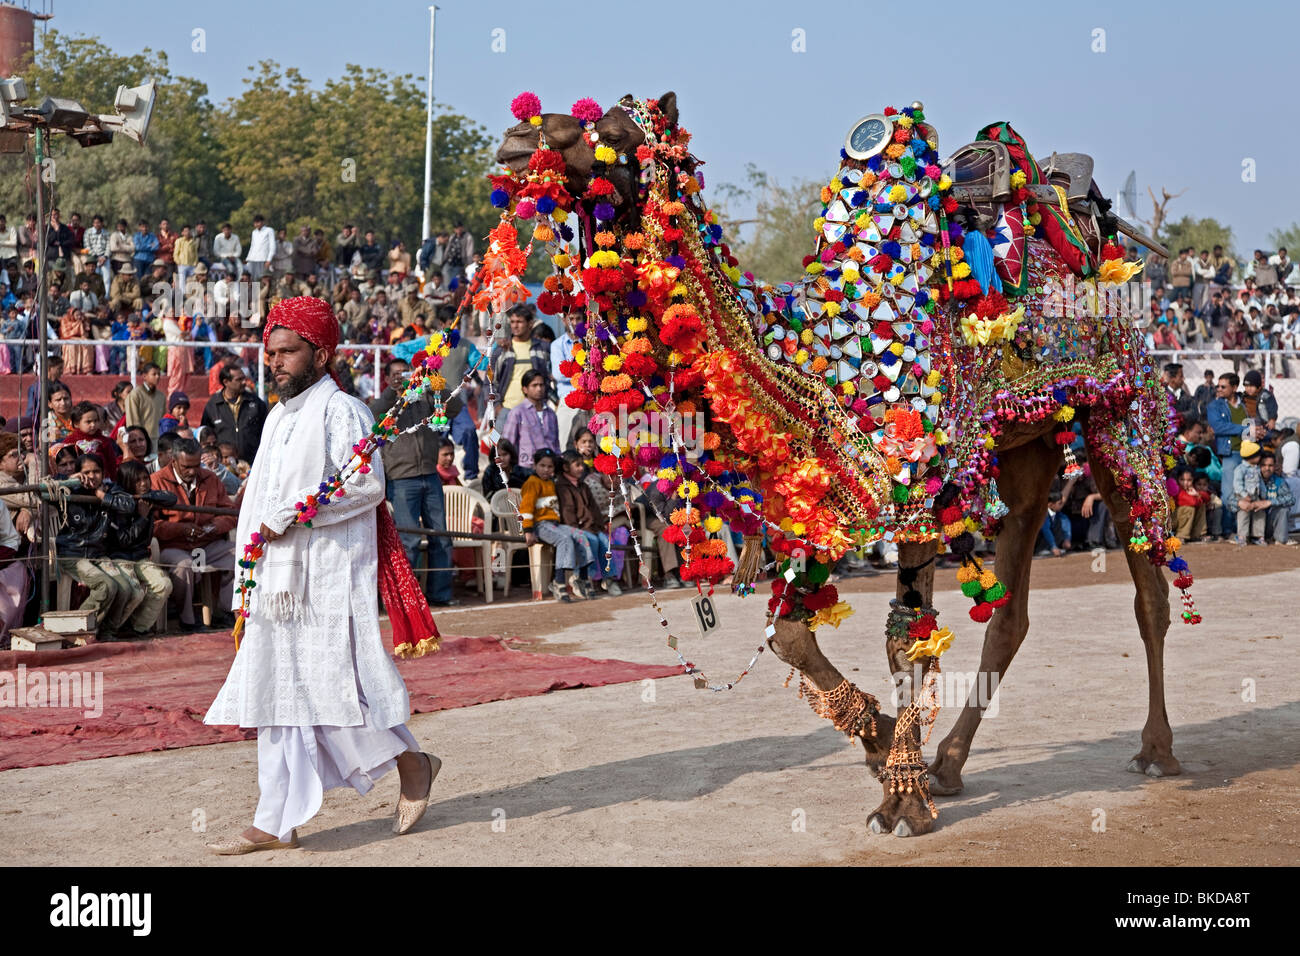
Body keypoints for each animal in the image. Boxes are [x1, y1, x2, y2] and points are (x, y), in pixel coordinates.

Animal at [483, 91, 1190, 837]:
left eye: (615, 135)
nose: (517, 137)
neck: (808, 347)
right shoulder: (813, 503)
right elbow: (791, 636)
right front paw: (882, 745)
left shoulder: (915, 489)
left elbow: (904, 639)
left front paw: (902, 800)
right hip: (1026, 448)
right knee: (1012, 613)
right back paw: (950, 764)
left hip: (1121, 415)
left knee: (1148, 587)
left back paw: (1155, 751)